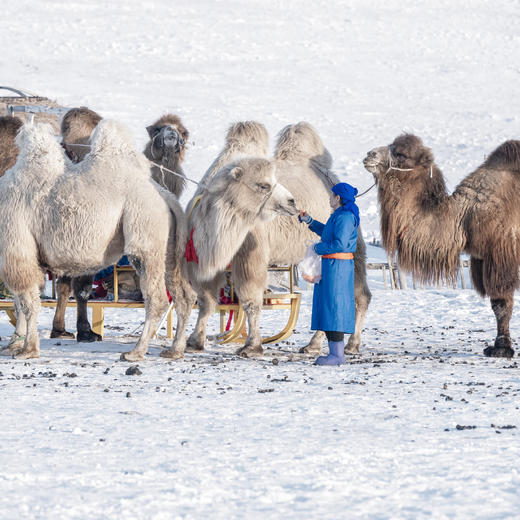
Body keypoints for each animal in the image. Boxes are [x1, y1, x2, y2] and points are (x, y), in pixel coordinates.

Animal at [0, 119, 189, 360]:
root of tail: (166, 197)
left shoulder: (16, 243)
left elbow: (27, 302)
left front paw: (28, 349)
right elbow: (19, 301)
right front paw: (14, 344)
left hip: (145, 234)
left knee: (157, 298)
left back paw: (136, 351)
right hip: (170, 249)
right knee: (182, 296)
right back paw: (175, 350)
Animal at [167, 121, 370, 358]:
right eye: (263, 185)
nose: (292, 201)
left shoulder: (250, 251)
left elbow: (251, 301)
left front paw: (251, 346)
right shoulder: (208, 259)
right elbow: (207, 301)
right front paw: (195, 341)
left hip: (351, 245)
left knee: (357, 294)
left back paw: (350, 344)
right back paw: (315, 345)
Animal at [364, 134, 520, 360]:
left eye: (401, 153)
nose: (370, 154)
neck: (465, 215)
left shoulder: (500, 254)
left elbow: (501, 303)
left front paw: (501, 348)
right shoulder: (482, 258)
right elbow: (496, 304)